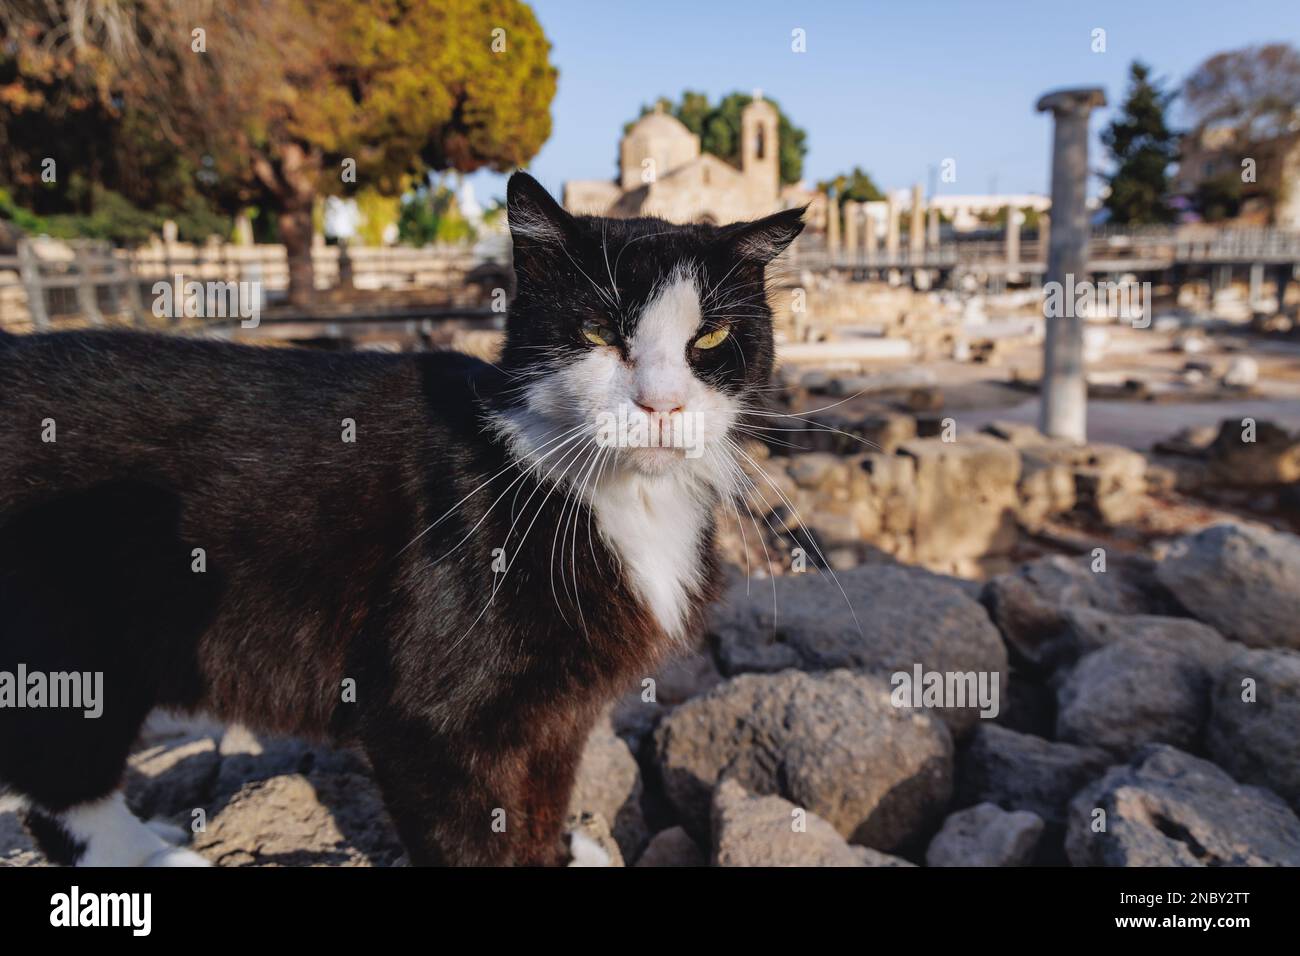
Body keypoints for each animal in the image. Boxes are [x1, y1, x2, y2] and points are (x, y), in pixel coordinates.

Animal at [0, 171, 800, 868]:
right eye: (601, 330)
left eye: (710, 340)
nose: (662, 403)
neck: (615, 497)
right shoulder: (428, 719)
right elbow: (470, 836)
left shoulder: (558, 711)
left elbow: (540, 796)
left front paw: (554, 855)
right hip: (70, 645)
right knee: (63, 782)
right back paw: (147, 855)